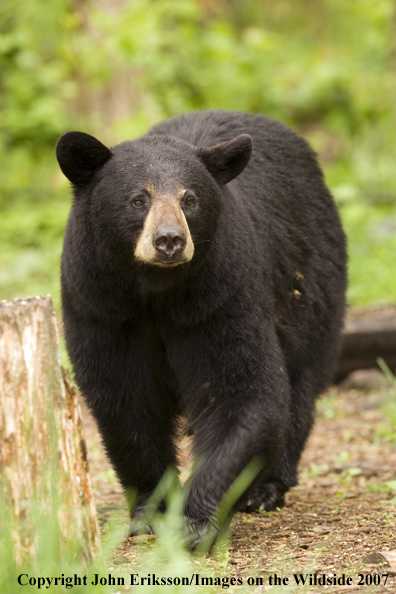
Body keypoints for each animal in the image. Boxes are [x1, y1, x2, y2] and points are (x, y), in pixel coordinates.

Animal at [55, 108, 346, 544]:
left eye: (189, 199)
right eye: (138, 199)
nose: (169, 240)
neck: (156, 290)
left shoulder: (222, 295)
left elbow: (240, 391)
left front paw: (193, 522)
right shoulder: (100, 304)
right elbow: (124, 397)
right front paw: (151, 512)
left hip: (311, 284)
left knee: (300, 379)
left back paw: (265, 488)